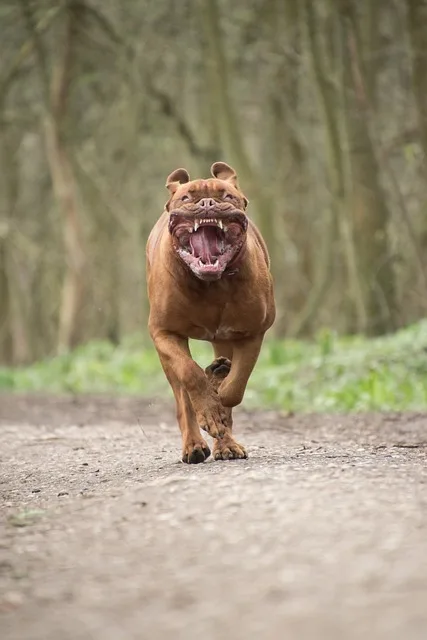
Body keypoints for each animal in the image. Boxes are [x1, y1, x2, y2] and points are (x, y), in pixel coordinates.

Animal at [145, 162, 276, 462]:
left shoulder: (252, 331)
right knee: (182, 397)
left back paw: (226, 442)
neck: (210, 283)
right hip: (167, 356)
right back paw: (194, 445)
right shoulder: (164, 332)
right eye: (186, 198)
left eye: (227, 196)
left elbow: (236, 385)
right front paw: (210, 405)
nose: (207, 203)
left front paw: (219, 396)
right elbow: (190, 373)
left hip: (224, 340)